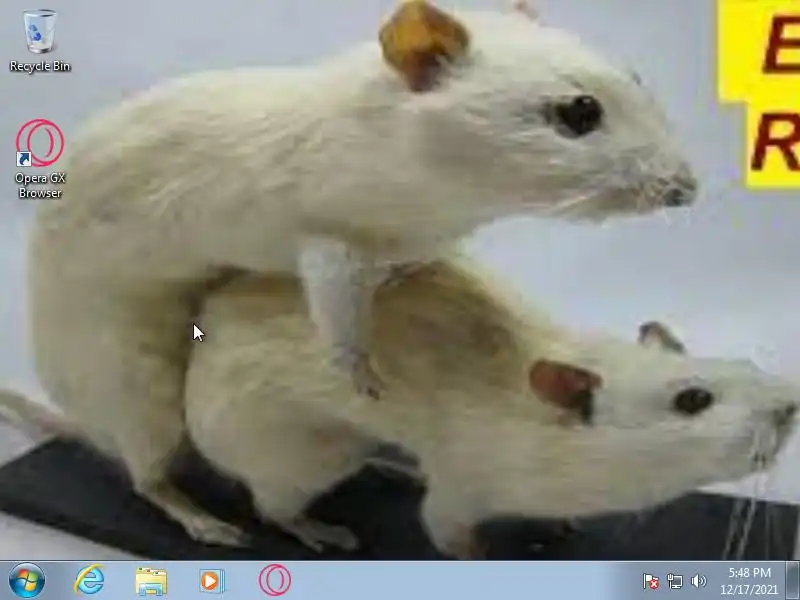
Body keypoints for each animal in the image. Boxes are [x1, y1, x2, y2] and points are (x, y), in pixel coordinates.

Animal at [26, 2, 698, 544]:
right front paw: (359, 368)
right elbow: (330, 294)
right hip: (132, 383)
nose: (686, 189)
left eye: (637, 79)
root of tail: (86, 423)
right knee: (147, 472)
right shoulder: (327, 228)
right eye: (579, 111)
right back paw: (201, 516)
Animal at [174, 257, 798, 558]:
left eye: (746, 364)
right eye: (693, 399)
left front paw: (559, 525)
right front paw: (479, 555)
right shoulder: (466, 479)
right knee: (270, 505)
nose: (791, 406)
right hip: (298, 453)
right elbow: (445, 528)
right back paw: (315, 527)